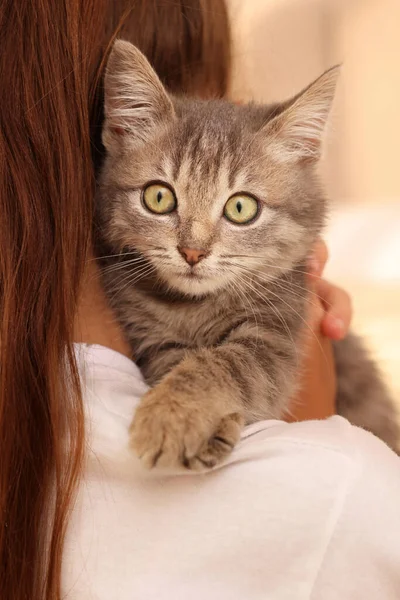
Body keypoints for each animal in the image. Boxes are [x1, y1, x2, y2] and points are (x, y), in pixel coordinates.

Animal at [95, 39, 398, 468]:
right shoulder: (147, 332)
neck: (195, 306)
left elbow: (228, 362)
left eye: (241, 208)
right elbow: (175, 360)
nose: (192, 251)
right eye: (158, 197)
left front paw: (170, 415)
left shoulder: (279, 330)